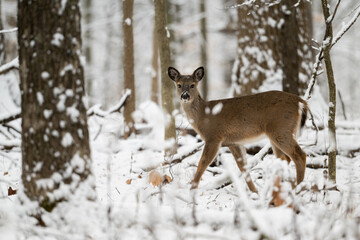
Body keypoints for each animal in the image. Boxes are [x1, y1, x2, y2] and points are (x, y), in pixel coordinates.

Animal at [167, 66, 308, 192]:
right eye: (179, 85)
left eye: (192, 85)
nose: (185, 96)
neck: (204, 115)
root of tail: (300, 101)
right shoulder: (233, 142)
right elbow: (243, 167)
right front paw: (254, 192)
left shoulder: (214, 137)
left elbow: (202, 163)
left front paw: (192, 190)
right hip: (277, 133)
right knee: (284, 158)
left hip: (281, 129)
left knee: (299, 155)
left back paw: (298, 188)